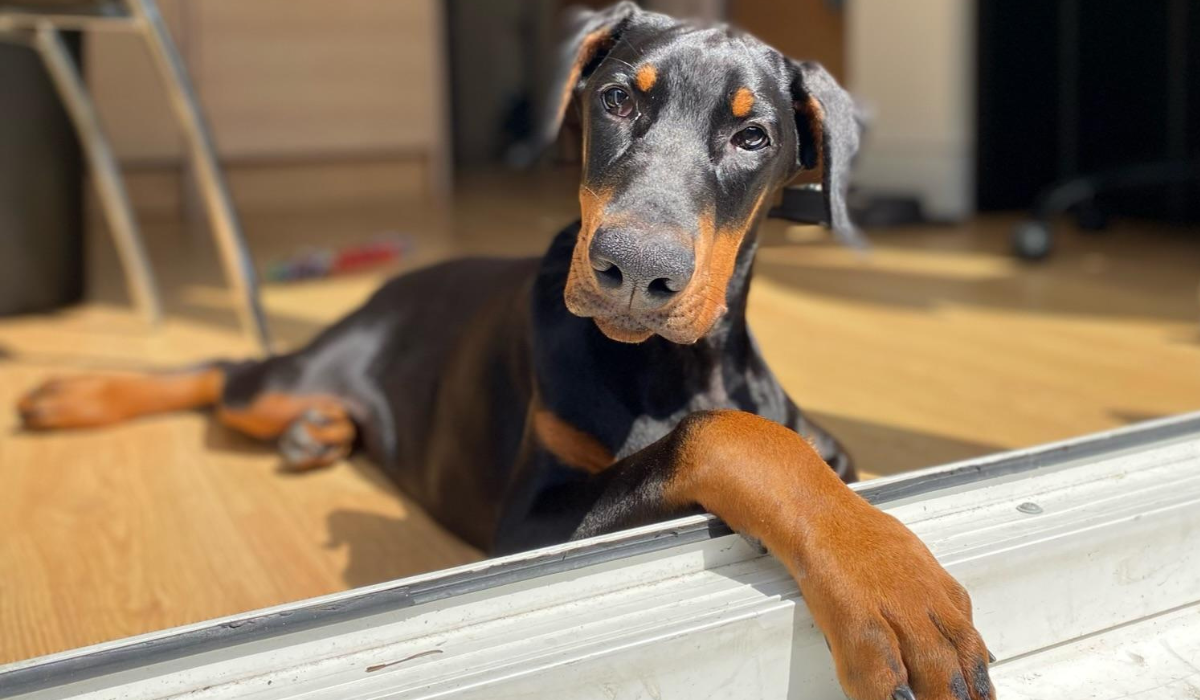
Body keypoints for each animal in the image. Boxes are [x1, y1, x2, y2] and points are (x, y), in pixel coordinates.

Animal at [18, 4, 993, 696]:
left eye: (753, 136)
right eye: (618, 98)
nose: (635, 269)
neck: (667, 367)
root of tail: (383, 291)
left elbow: (804, 449)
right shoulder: (527, 527)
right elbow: (725, 437)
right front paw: (893, 591)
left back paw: (319, 434)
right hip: (284, 379)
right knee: (228, 375)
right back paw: (70, 396)